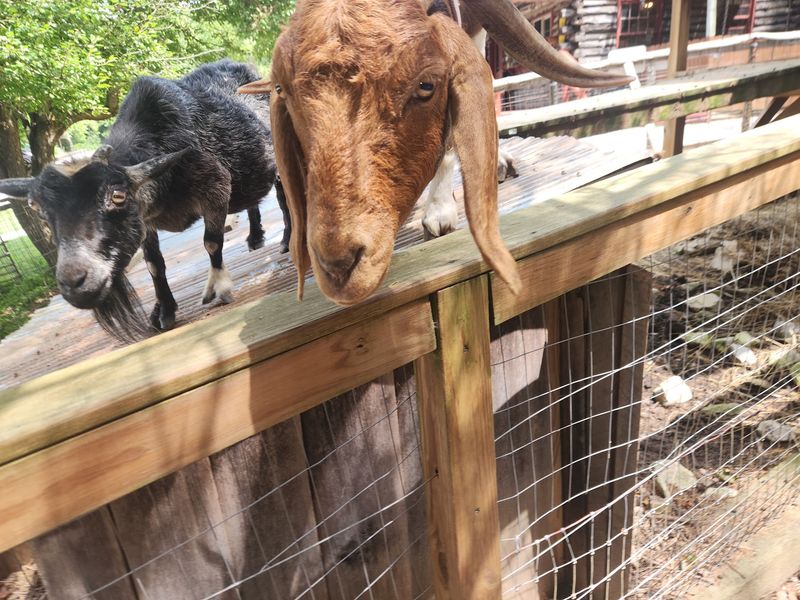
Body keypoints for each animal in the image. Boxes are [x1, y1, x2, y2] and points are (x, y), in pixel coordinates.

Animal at [0, 60, 291, 342]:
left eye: (117, 196)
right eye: (38, 209)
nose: (74, 283)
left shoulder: (215, 185)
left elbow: (211, 242)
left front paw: (219, 288)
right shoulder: (146, 219)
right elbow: (153, 264)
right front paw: (163, 311)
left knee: (283, 201)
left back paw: (285, 241)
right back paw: (255, 238)